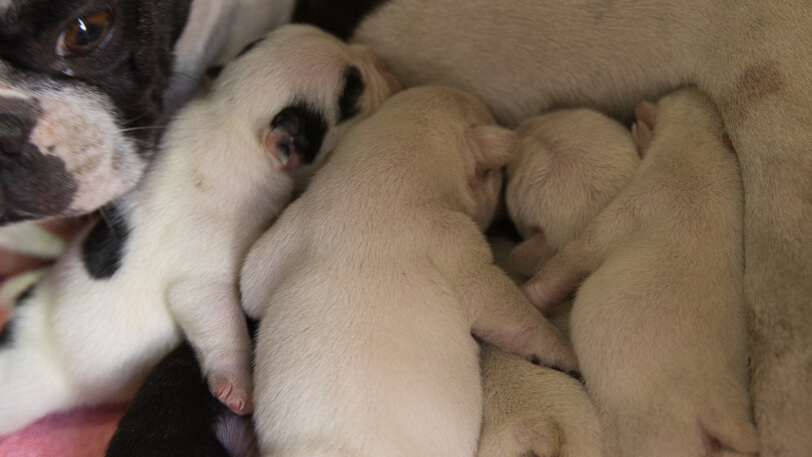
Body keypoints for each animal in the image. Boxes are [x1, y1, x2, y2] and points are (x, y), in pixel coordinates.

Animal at [0, 23, 396, 436]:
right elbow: (224, 323)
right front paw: (237, 387)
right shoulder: (203, 277)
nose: (382, 58)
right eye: (351, 90)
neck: (231, 120)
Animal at [241, 86, 576, 456]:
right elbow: (496, 302)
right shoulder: (455, 240)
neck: (373, 177)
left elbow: (250, 288)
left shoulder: (287, 233)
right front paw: (565, 352)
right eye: (497, 175)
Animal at [524, 89, 760, 456]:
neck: (698, 141)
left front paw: (530, 292)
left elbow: (585, 248)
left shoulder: (638, 199)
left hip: (650, 432)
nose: (691, 89)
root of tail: (722, 411)